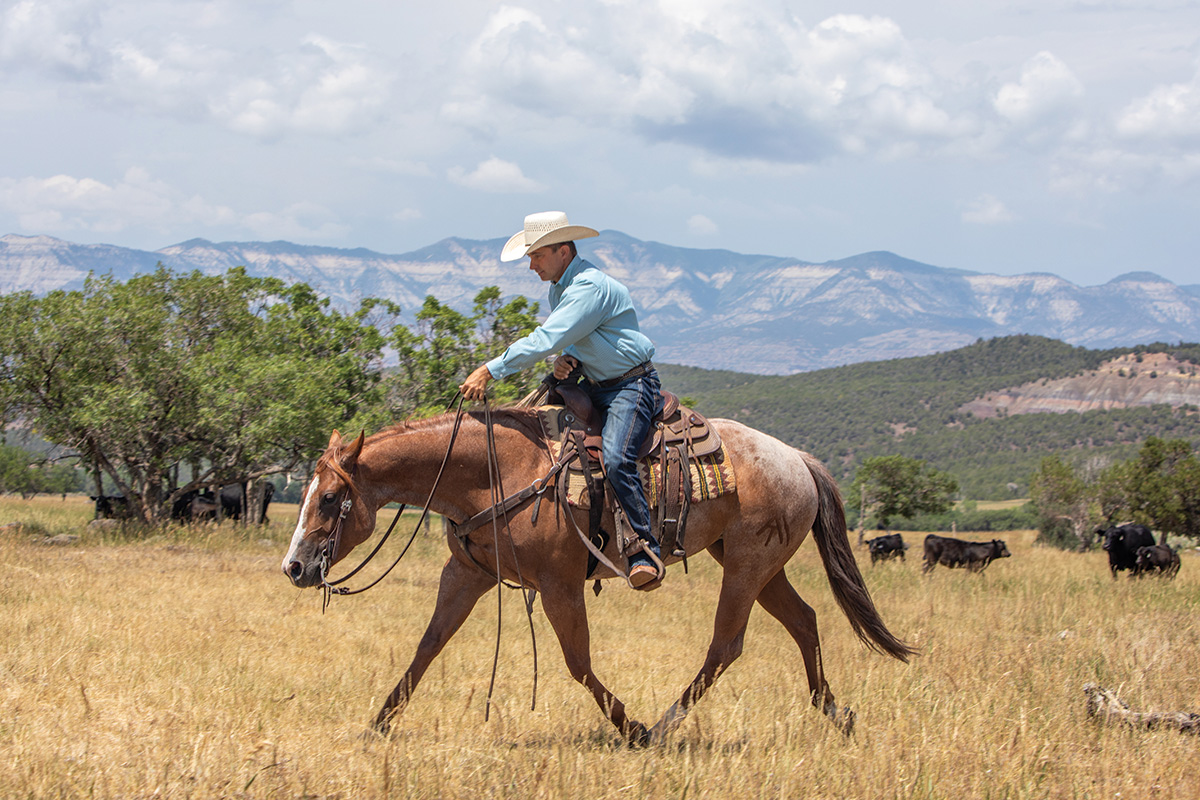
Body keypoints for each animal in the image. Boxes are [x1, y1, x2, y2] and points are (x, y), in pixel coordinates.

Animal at [283, 410, 916, 748]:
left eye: (332, 497)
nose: (295, 567)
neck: (497, 473)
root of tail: (797, 459)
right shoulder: (465, 574)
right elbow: (428, 646)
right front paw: (378, 725)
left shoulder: (558, 587)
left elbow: (578, 662)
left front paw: (629, 728)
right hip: (761, 566)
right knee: (804, 622)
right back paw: (836, 713)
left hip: (745, 567)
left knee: (726, 645)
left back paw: (660, 728)